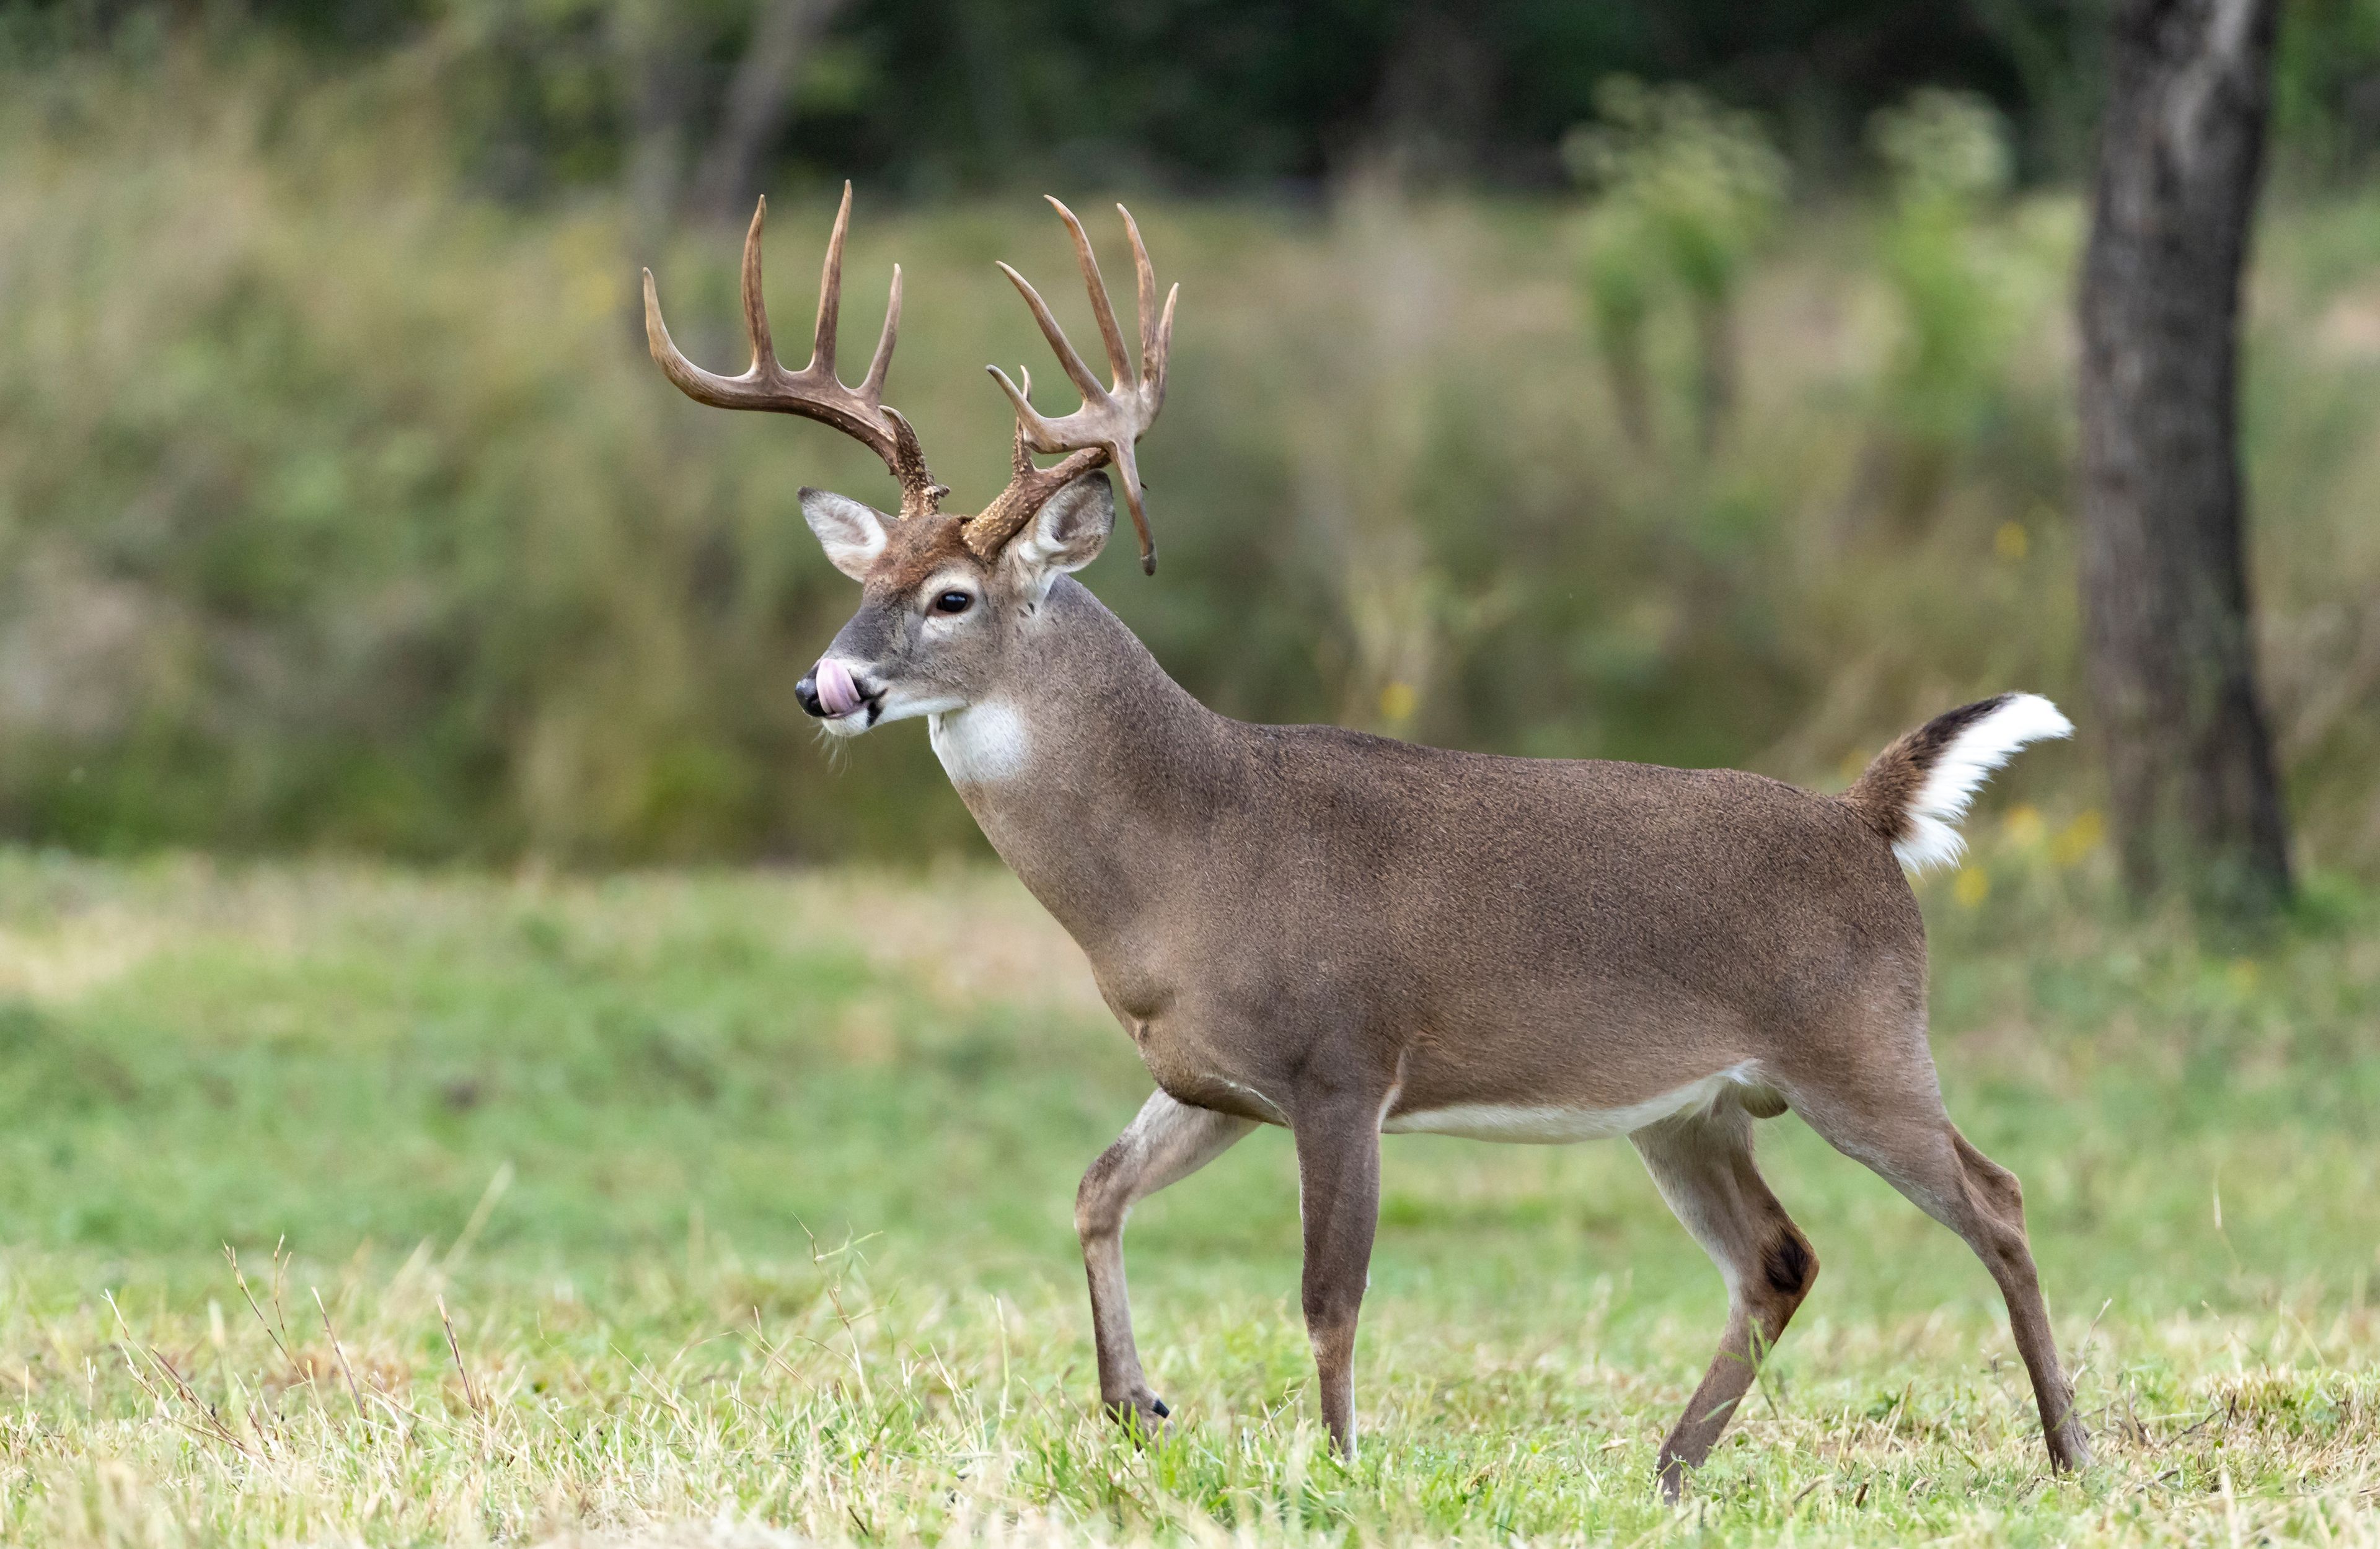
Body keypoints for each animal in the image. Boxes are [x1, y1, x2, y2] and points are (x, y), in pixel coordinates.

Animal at [642, 184, 2093, 1496]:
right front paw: (1134, 1405)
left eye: (949, 597)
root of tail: (1866, 819)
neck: (1188, 857)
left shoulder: (1345, 1060)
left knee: (1998, 1198)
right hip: (1694, 1106)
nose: (823, 685)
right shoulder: (1211, 1076)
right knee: (1780, 1257)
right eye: (862, 582)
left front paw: (1336, 1464)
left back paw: (2068, 1449)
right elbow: (1096, 1187)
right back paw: (1670, 1470)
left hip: (1860, 1043)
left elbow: (1326, 1292)